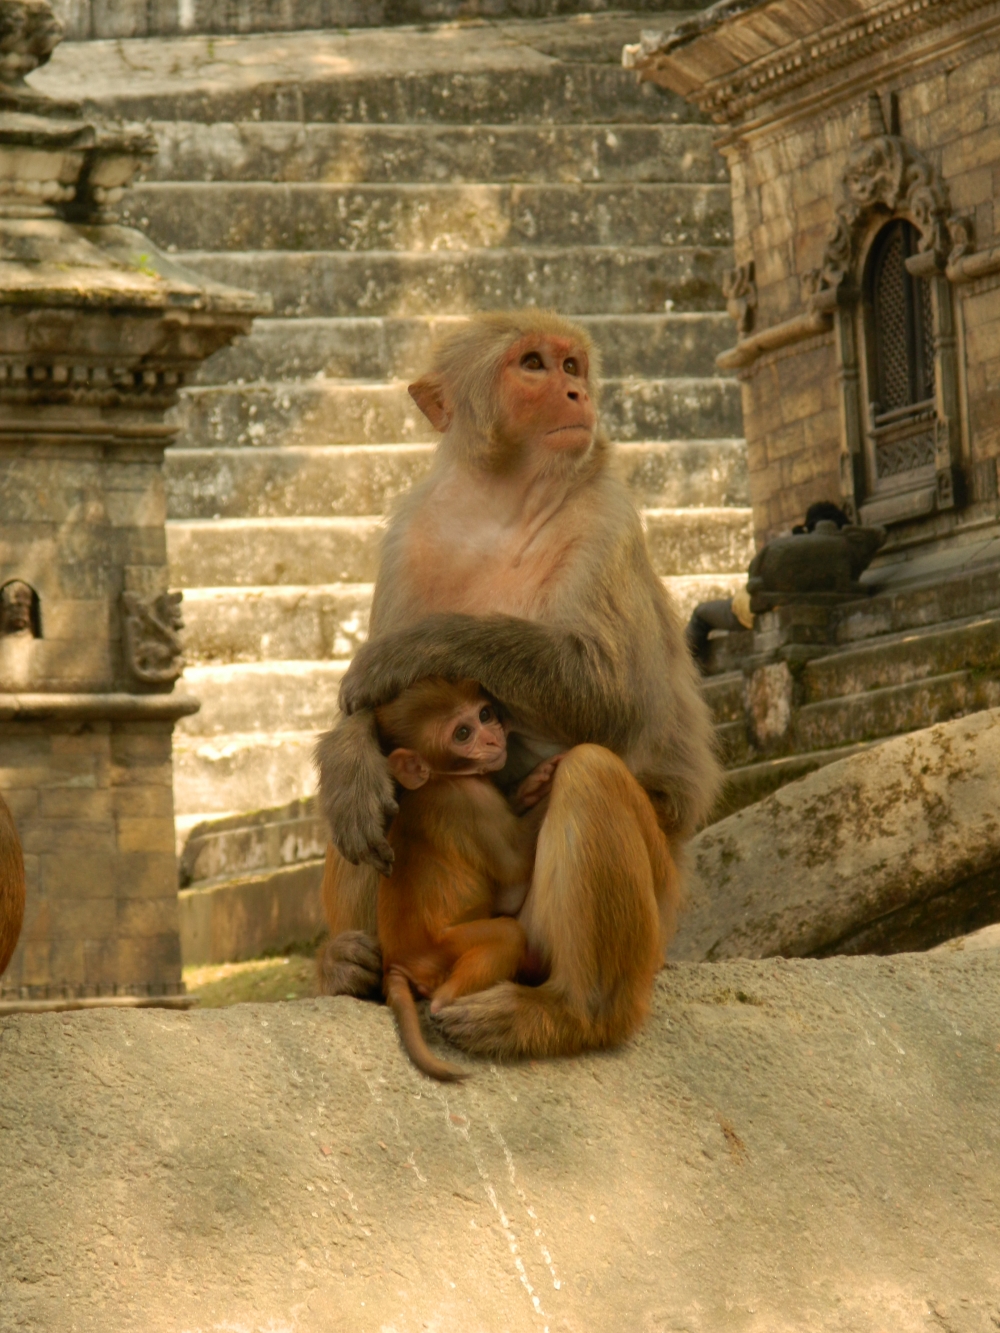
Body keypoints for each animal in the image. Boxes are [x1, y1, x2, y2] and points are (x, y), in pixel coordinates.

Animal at [370, 677, 558, 1081]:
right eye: (462, 733)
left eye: (484, 714)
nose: (492, 736)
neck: (441, 779)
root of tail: (396, 962)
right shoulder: (472, 803)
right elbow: (512, 881)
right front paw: (549, 787)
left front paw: (530, 786)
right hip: (443, 950)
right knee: (507, 933)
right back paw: (450, 1004)